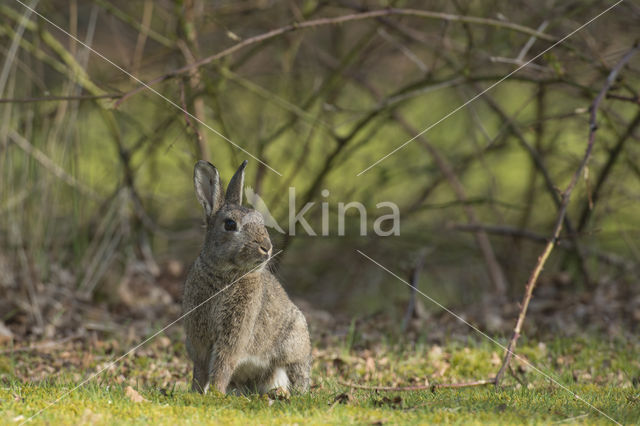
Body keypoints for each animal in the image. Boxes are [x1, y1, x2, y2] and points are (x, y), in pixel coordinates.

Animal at [182, 161, 312, 396]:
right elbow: (201, 369)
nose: (267, 248)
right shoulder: (199, 339)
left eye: (261, 222)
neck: (225, 274)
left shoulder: (235, 334)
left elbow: (223, 364)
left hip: (294, 344)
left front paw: (215, 393)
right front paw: (197, 393)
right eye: (230, 225)